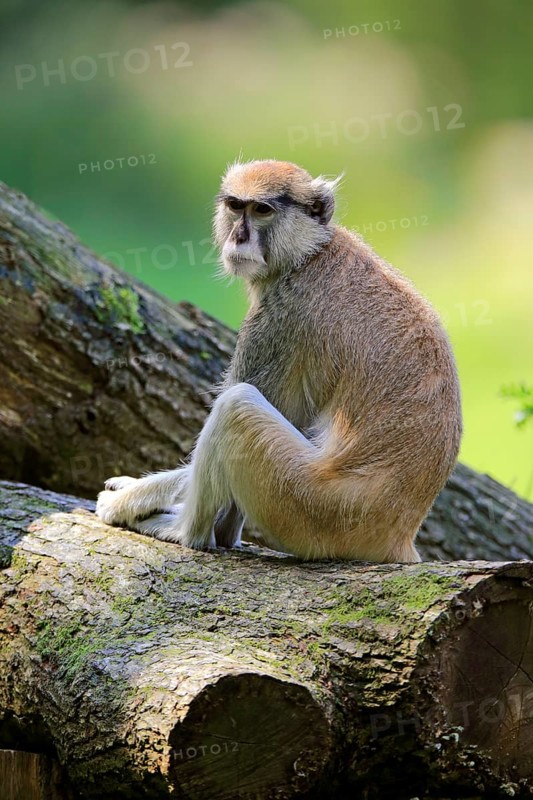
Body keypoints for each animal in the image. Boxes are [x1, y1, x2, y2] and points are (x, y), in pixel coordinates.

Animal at [96, 159, 462, 563]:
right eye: (235, 206)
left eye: (262, 210)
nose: (239, 237)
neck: (310, 252)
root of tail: (398, 534)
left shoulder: (280, 316)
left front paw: (124, 501)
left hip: (309, 504)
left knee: (236, 406)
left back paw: (186, 532)